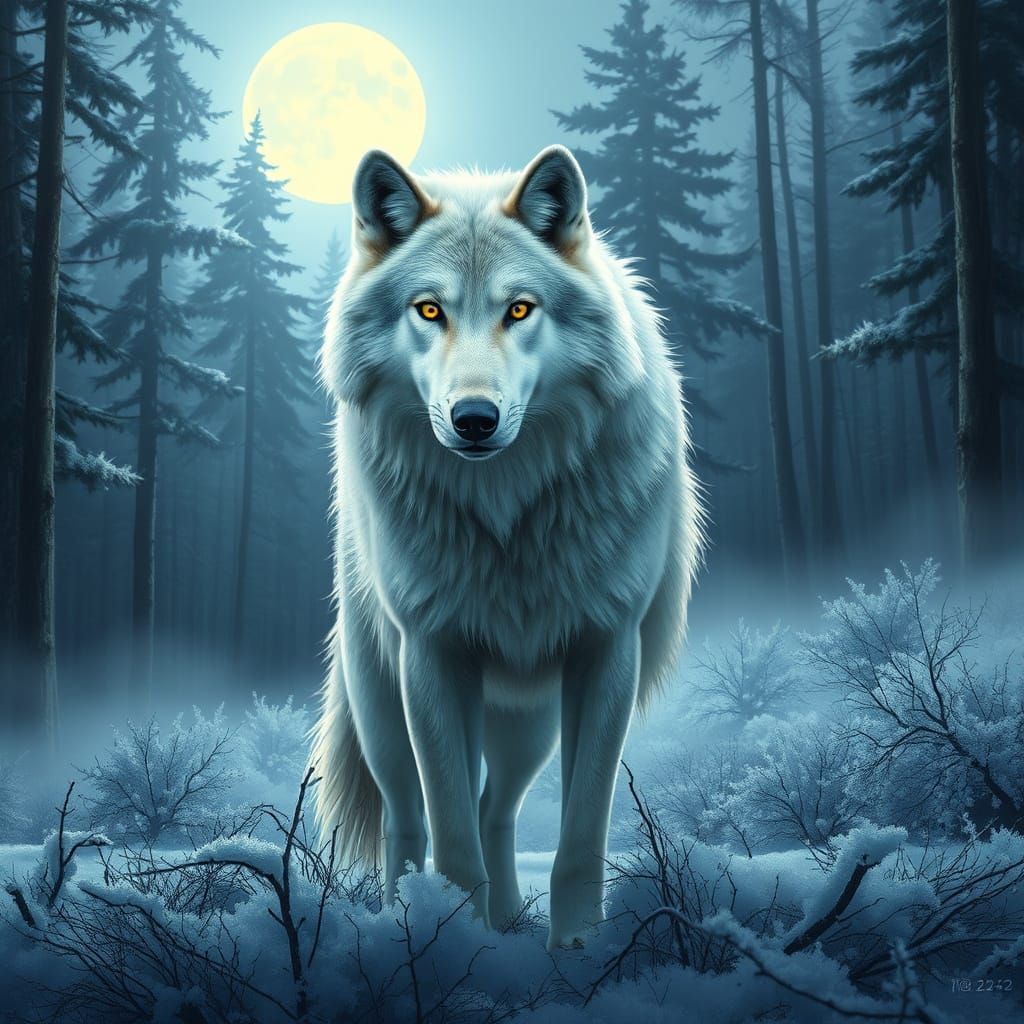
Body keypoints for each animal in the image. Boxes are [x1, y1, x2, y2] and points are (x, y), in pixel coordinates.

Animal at [312, 144, 703, 950]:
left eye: (518, 309)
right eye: (429, 309)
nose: (474, 418)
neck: (508, 516)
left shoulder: (606, 651)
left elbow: (581, 834)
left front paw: (578, 948)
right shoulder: (432, 655)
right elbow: (451, 834)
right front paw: (451, 945)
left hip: (529, 725)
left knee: (497, 805)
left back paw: (512, 925)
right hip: (383, 701)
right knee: (410, 819)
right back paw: (406, 917)